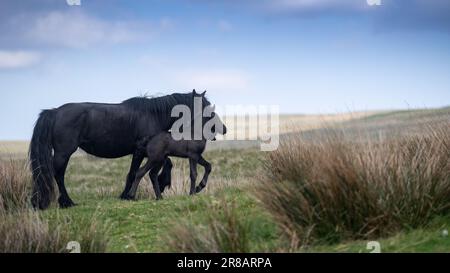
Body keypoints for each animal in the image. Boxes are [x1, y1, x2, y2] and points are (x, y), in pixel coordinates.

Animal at [29, 90, 214, 208]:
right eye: (203, 105)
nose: (213, 124)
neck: (153, 114)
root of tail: (55, 112)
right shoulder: (142, 150)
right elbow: (134, 172)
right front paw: (128, 195)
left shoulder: (155, 150)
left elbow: (163, 164)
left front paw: (160, 185)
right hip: (63, 153)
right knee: (58, 175)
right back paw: (67, 202)